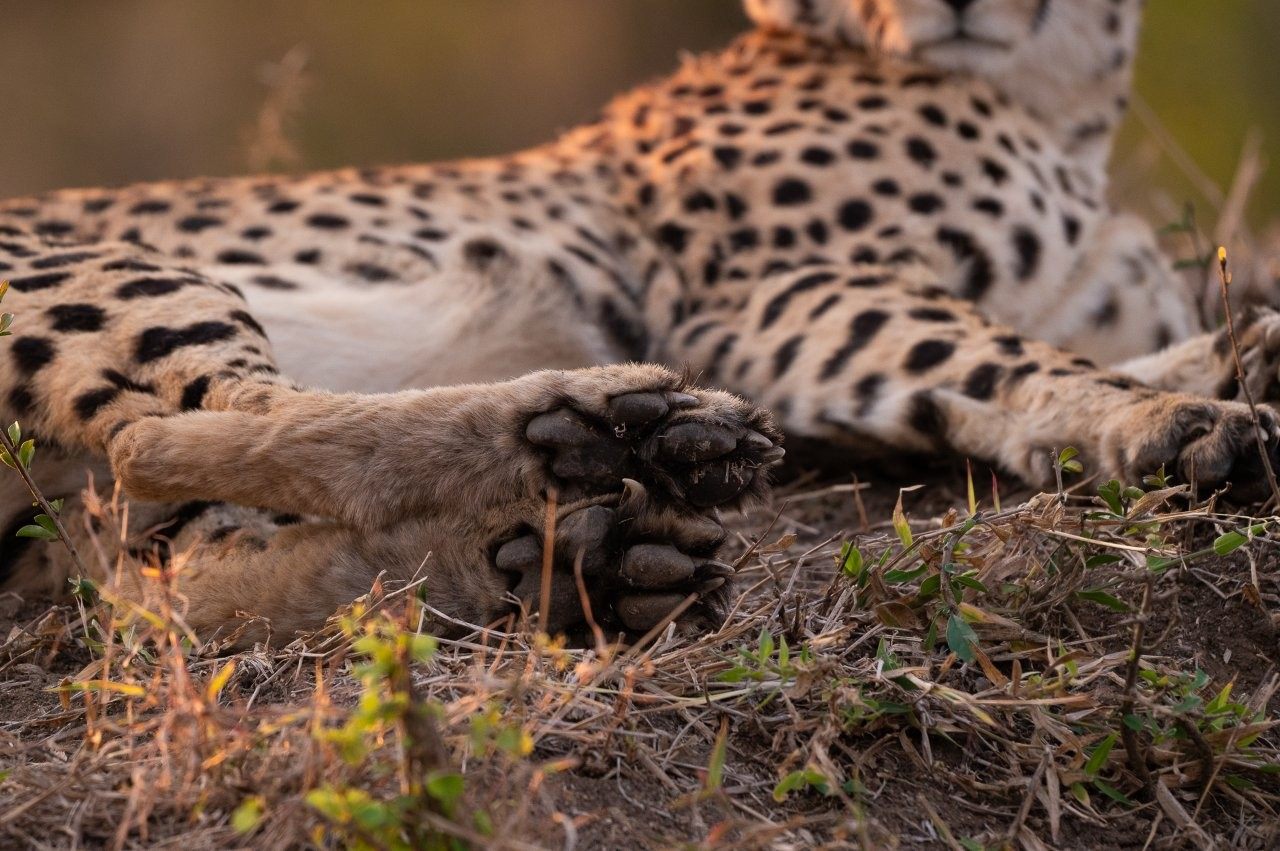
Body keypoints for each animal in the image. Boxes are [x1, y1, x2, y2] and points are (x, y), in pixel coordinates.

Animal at [1, 0, 1278, 648]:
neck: (1051, 97)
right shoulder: (768, 299)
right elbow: (999, 353)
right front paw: (1167, 419)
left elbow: (1060, 350)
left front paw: (1236, 356)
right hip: (114, 270)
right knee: (184, 438)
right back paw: (607, 424)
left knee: (156, 585)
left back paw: (564, 565)